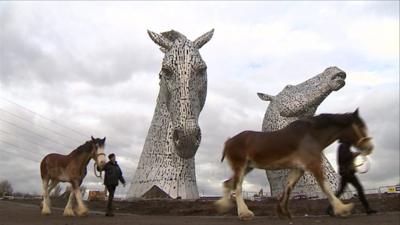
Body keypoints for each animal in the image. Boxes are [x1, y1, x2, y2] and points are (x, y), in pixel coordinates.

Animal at [217, 110, 374, 221]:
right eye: (361, 126)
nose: (369, 147)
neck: (311, 134)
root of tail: (229, 141)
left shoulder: (299, 169)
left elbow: (288, 187)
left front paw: (283, 212)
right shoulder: (313, 164)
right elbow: (326, 187)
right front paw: (342, 209)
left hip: (248, 167)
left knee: (228, 183)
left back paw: (223, 206)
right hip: (240, 166)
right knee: (237, 187)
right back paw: (244, 213)